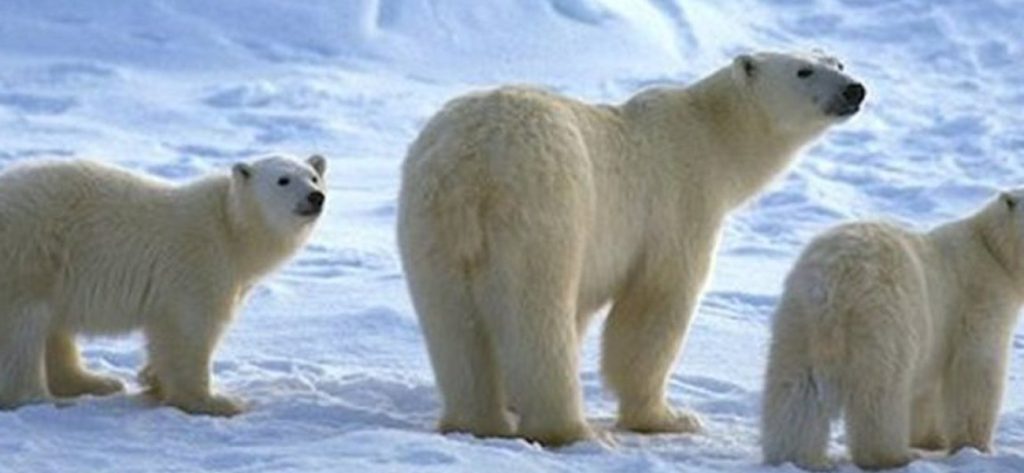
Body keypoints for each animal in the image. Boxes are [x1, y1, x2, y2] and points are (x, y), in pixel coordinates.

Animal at [0, 154, 325, 413]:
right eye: (283, 180)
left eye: (313, 176)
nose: (315, 196)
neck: (230, 226)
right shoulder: (198, 263)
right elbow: (191, 330)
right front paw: (212, 401)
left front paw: (152, 380)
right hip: (29, 254)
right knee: (23, 330)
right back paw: (45, 399)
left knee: (52, 328)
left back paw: (95, 381)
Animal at [397, 49, 864, 444]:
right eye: (803, 70)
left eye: (837, 62)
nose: (854, 89)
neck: (712, 134)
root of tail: (472, 164)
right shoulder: (679, 202)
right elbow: (654, 306)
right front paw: (668, 418)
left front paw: (512, 399)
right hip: (545, 207)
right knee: (539, 314)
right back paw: (573, 429)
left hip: (430, 225)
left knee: (453, 322)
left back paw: (476, 422)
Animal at [761, 190, 1024, 470]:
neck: (993, 250)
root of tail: (833, 282)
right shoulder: (979, 301)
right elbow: (976, 370)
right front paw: (975, 446)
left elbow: (928, 388)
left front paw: (930, 438)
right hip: (885, 317)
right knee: (881, 391)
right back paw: (892, 456)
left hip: (799, 318)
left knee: (797, 389)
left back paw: (794, 456)